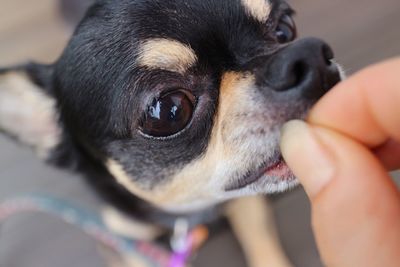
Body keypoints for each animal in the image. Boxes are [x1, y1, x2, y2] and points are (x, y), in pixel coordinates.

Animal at [0, 1, 340, 266]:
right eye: (169, 110)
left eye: (285, 29)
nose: (310, 56)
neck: (188, 212)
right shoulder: (125, 238)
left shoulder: (246, 203)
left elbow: (261, 240)